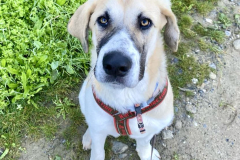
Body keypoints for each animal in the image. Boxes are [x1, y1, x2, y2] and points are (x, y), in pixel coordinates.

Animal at [67, 0, 178, 159]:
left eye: (145, 22)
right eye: (103, 20)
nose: (115, 64)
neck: (125, 96)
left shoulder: (148, 128)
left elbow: (143, 144)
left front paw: (146, 154)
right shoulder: (98, 131)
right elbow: (97, 150)